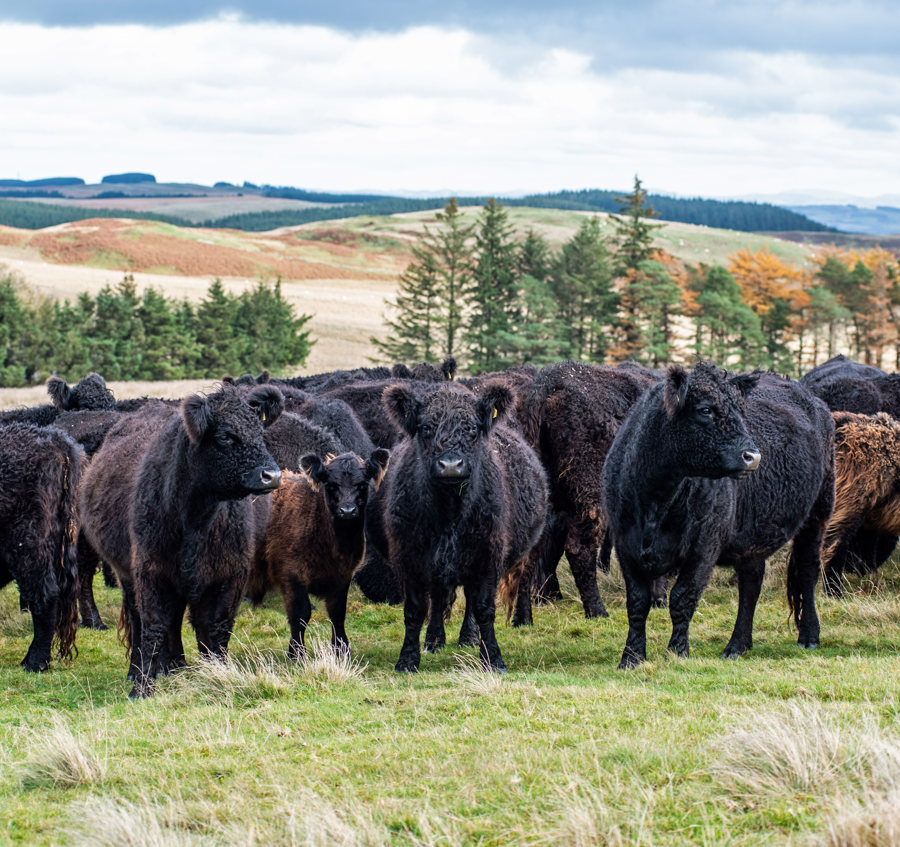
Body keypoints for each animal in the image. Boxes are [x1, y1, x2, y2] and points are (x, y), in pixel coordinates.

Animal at [78, 384, 284, 697]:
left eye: (260, 433)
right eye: (225, 436)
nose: (272, 475)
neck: (197, 518)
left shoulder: (230, 574)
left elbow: (216, 628)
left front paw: (218, 675)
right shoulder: (150, 570)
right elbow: (153, 626)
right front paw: (142, 686)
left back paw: (176, 666)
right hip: (126, 574)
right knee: (138, 619)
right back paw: (141, 669)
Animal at [246, 449, 390, 658]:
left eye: (362, 485)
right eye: (331, 485)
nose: (348, 511)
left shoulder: (343, 576)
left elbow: (338, 613)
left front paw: (341, 649)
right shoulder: (291, 574)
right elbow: (300, 614)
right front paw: (297, 653)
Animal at [373, 381, 548, 673]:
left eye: (473, 429)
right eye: (426, 428)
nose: (450, 466)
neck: (449, 513)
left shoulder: (488, 556)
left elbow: (484, 608)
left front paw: (493, 658)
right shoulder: (409, 557)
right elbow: (415, 610)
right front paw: (407, 659)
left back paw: (468, 638)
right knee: (438, 599)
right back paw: (434, 640)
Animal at [602, 363, 834, 669]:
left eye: (740, 411)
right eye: (706, 410)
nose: (753, 456)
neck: (656, 500)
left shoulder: (704, 545)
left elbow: (682, 598)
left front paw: (678, 652)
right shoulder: (624, 543)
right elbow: (637, 602)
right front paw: (631, 657)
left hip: (818, 513)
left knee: (807, 570)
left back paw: (809, 636)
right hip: (752, 533)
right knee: (751, 582)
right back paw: (737, 645)